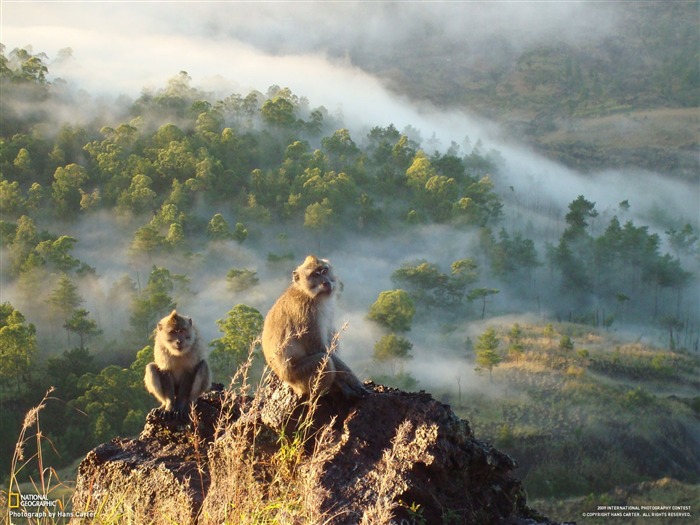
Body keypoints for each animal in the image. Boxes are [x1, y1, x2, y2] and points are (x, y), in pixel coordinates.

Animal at [262, 254, 370, 398]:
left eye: (324, 271)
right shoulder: (306, 314)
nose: (326, 282)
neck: (310, 295)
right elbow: (319, 349)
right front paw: (354, 382)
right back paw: (330, 390)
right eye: (315, 275)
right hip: (300, 377)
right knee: (324, 360)